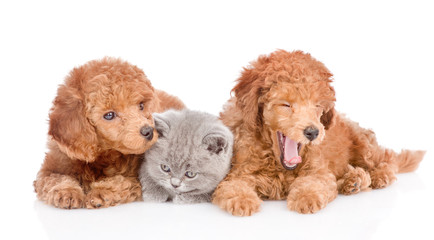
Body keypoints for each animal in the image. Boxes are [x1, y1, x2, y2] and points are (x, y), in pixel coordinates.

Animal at [32, 56, 185, 208]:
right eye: (109, 115)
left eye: (141, 105)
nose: (148, 131)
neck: (104, 155)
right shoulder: (52, 166)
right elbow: (55, 178)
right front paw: (67, 192)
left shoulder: (140, 178)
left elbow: (121, 181)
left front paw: (100, 192)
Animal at [212, 49, 426, 215]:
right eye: (286, 105)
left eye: (317, 106)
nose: (312, 132)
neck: (277, 162)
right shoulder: (238, 171)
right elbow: (233, 185)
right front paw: (242, 200)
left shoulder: (319, 170)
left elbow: (314, 183)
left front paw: (306, 197)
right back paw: (353, 180)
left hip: (363, 144)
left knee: (387, 161)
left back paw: (376, 176)